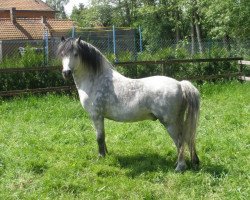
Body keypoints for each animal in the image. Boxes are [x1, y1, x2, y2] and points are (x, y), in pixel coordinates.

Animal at [57, 37, 200, 172]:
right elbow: (103, 137)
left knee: (180, 142)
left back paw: (180, 167)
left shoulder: (96, 116)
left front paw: (101, 157)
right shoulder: (100, 117)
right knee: (187, 139)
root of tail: (180, 84)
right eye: (62, 54)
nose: (66, 73)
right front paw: (106, 154)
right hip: (178, 121)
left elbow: (99, 137)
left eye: (76, 54)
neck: (96, 80)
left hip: (170, 123)